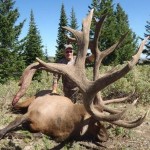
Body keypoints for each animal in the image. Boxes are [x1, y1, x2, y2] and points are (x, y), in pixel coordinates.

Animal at [0, 9, 148, 144]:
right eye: (95, 122)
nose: (105, 136)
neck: (62, 124)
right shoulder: (29, 114)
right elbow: (9, 126)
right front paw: (8, 133)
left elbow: (36, 134)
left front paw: (16, 135)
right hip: (26, 101)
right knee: (15, 105)